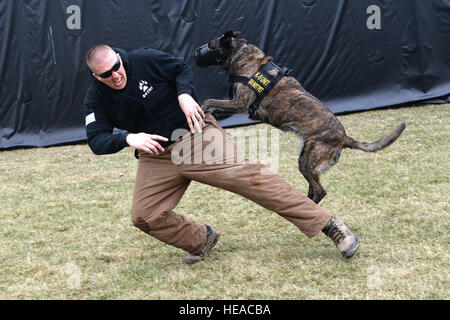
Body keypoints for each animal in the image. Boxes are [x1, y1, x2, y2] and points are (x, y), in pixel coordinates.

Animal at [195, 31, 406, 202]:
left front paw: (200, 112)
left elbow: (208, 101)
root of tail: (344, 138)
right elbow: (213, 107)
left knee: (319, 191)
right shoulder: (235, 105)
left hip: (307, 159)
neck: (242, 55)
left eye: (211, 45)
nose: (195, 54)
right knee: (314, 189)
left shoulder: (240, 103)